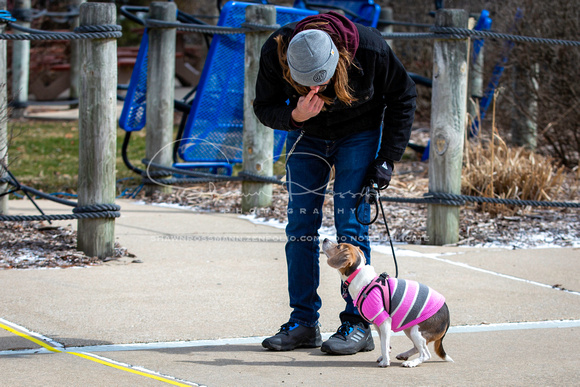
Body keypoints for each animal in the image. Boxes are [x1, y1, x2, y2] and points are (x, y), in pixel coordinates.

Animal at [322, 238, 454, 368]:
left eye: (338, 246)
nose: (325, 239)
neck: (360, 278)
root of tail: (447, 314)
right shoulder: (378, 324)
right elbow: (384, 342)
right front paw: (385, 357)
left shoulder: (384, 321)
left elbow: (384, 345)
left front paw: (385, 362)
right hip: (409, 329)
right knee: (418, 348)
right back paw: (404, 355)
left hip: (416, 332)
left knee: (426, 354)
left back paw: (411, 362)